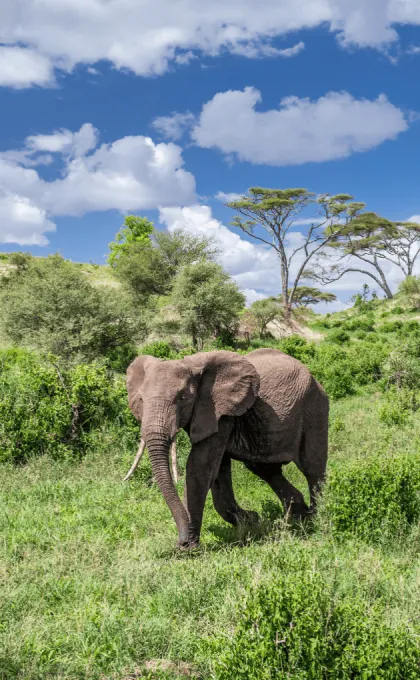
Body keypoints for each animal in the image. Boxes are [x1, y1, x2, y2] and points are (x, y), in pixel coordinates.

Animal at [124, 348, 328, 548]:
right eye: (141, 399)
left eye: (182, 398)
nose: (182, 541)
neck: (190, 364)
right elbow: (218, 470)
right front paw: (251, 520)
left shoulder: (219, 411)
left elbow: (200, 466)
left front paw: (189, 548)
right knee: (263, 468)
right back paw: (297, 515)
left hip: (314, 407)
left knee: (312, 467)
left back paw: (316, 518)